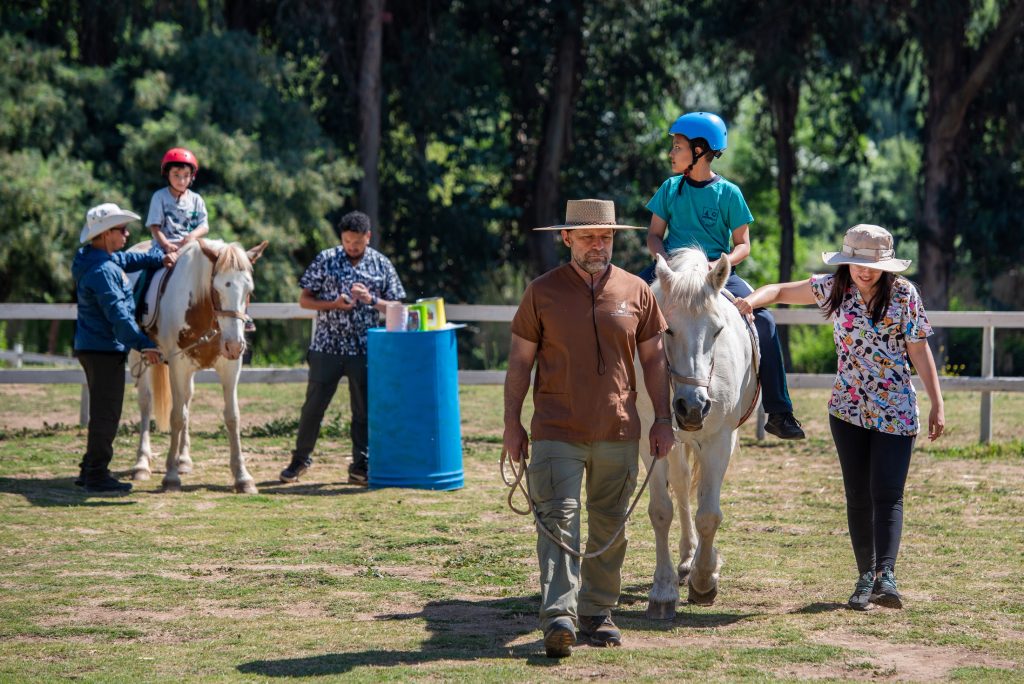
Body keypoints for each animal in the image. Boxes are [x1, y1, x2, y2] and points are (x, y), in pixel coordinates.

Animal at [128, 238, 268, 494]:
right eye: (218, 288)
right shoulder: (177, 365)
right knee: (146, 403)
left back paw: (183, 460)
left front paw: (242, 477)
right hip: (138, 357)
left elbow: (232, 416)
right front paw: (171, 477)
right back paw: (142, 464)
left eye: (249, 290)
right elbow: (175, 416)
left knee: (186, 400)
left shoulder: (230, 367)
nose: (234, 345)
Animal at [635, 249, 760, 619]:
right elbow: (662, 511)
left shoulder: (719, 440)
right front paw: (663, 592)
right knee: (680, 486)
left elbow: (709, 514)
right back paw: (687, 558)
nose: (692, 407)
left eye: (717, 331)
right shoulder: (650, 440)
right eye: (668, 329)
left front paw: (705, 581)